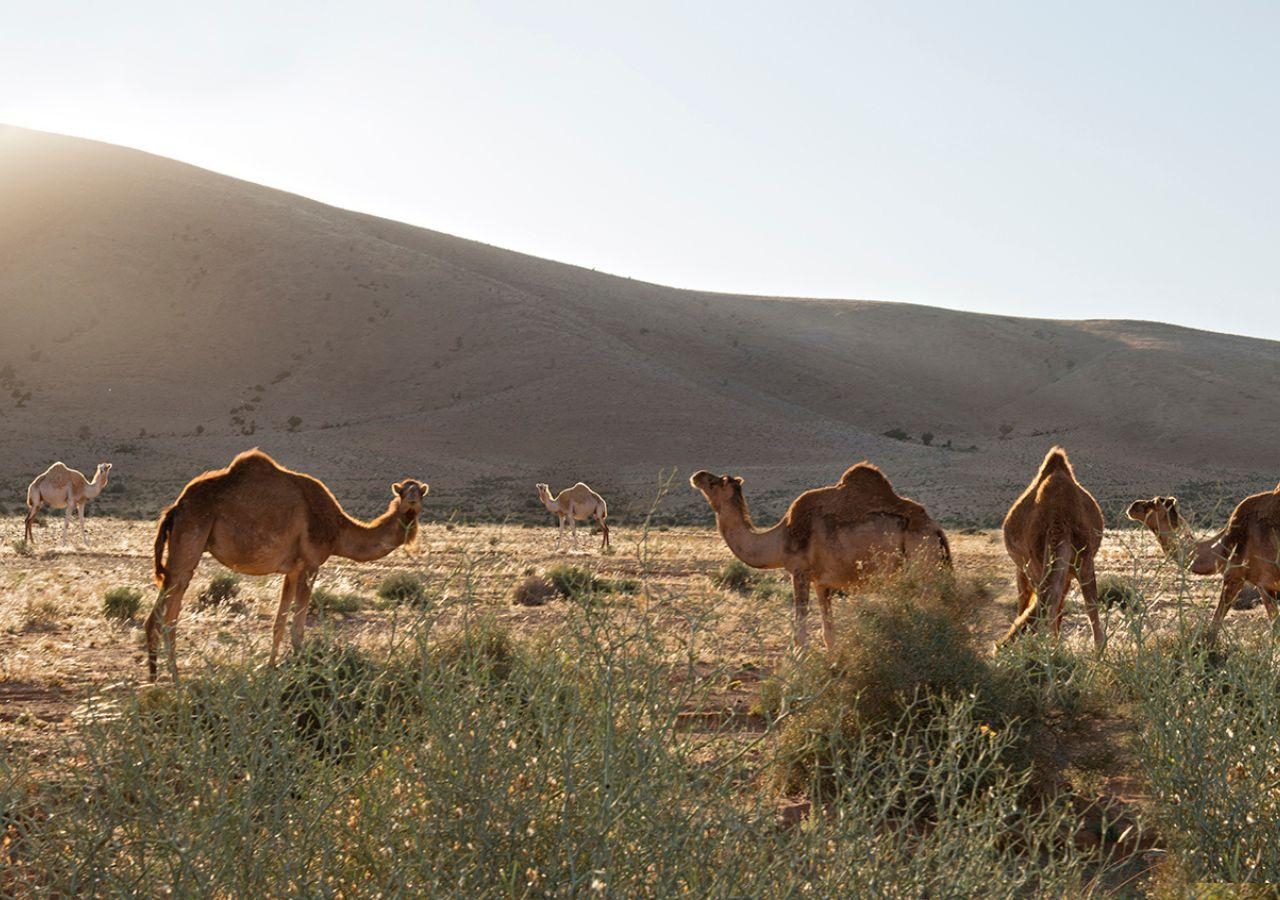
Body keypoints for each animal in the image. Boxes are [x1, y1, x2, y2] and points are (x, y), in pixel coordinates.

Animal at [146, 449, 428, 680]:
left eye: (420, 492)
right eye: (403, 491)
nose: (412, 502)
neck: (338, 530)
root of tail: (175, 507)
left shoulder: (292, 570)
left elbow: (279, 625)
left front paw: (271, 670)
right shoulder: (311, 565)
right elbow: (297, 627)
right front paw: (303, 675)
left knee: (163, 615)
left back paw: (160, 677)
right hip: (190, 539)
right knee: (163, 617)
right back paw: (170, 681)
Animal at [689, 462, 951, 651]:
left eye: (713, 481)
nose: (697, 475)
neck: (780, 538)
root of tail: (936, 530)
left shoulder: (799, 572)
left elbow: (800, 631)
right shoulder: (821, 583)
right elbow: (829, 632)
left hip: (921, 564)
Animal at [999, 447, 1106, 651]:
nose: (999, 648)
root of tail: (1059, 514)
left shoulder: (1028, 569)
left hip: (1040, 565)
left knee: (1047, 604)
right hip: (1079, 560)